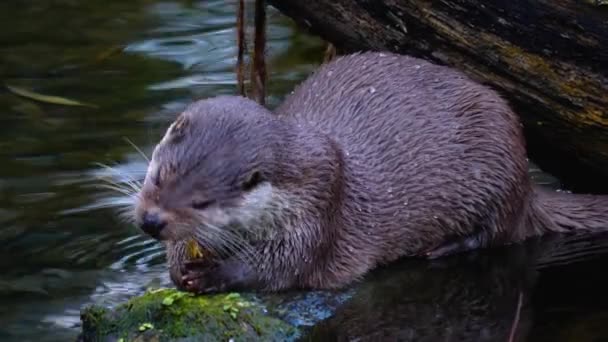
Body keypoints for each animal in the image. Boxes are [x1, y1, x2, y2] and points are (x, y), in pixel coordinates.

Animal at [133, 51, 608, 294]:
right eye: (158, 177)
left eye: (201, 202)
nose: (151, 221)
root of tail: (529, 185)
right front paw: (177, 266)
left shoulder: (319, 209)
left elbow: (281, 268)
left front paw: (214, 275)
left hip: (499, 163)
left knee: (498, 231)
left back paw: (443, 247)